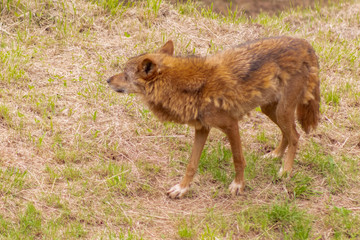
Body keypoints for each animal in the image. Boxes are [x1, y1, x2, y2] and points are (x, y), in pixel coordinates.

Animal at [107, 36, 320, 199]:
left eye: (125, 75)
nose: (107, 79)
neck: (185, 88)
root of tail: (305, 44)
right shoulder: (202, 129)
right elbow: (191, 164)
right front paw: (181, 189)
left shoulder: (231, 125)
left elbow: (238, 159)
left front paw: (238, 186)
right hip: (269, 109)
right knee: (287, 134)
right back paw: (275, 155)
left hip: (282, 111)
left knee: (295, 136)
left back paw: (286, 171)